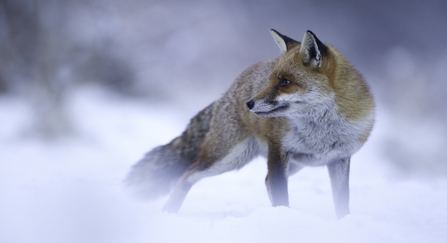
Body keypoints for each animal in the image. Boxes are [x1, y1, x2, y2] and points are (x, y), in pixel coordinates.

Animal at [128, 29, 376, 219]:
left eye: (285, 82)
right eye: (271, 80)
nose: (248, 103)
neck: (321, 132)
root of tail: (231, 88)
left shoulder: (339, 158)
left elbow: (342, 203)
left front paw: (343, 224)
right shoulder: (278, 151)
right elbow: (281, 197)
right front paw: (283, 221)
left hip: (294, 164)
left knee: (265, 181)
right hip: (227, 158)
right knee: (187, 175)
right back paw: (168, 212)